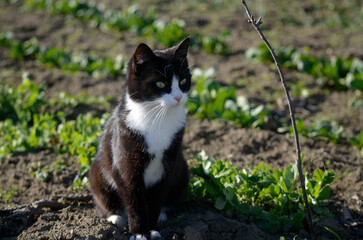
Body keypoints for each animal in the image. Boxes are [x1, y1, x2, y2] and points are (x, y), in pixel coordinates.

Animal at [89, 37, 192, 240]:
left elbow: (157, 199)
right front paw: (138, 233)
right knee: (102, 201)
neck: (158, 117)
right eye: (161, 84)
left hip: (182, 169)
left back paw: (162, 215)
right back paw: (115, 218)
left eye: (184, 81)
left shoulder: (168, 163)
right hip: (96, 171)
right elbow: (134, 202)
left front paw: (153, 229)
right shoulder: (125, 164)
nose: (178, 97)